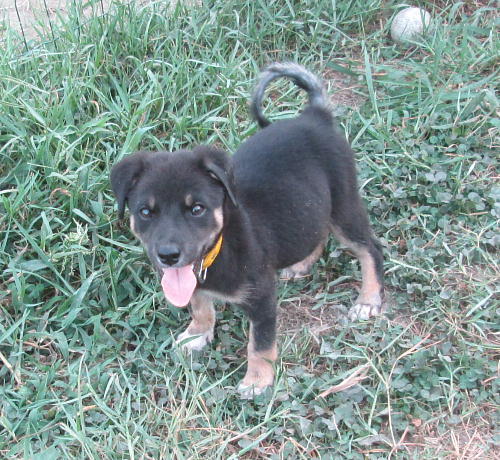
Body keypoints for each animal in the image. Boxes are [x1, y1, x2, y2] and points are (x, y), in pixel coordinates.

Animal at [110, 63, 384, 398]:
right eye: (146, 212)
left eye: (197, 209)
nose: (168, 256)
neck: (220, 249)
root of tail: (314, 116)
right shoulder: (193, 283)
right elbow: (200, 307)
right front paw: (197, 335)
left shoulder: (263, 299)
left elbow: (260, 345)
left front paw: (257, 381)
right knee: (316, 233)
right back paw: (301, 265)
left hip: (344, 206)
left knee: (370, 248)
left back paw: (368, 300)